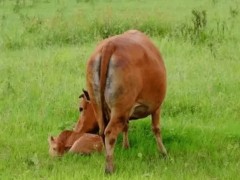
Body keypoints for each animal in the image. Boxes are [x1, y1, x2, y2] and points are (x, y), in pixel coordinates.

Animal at [85, 29, 166, 173]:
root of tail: (110, 45)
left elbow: (126, 126)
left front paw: (126, 146)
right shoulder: (156, 106)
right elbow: (156, 128)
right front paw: (163, 152)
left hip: (97, 104)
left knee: (102, 131)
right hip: (121, 107)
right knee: (110, 133)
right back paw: (110, 168)